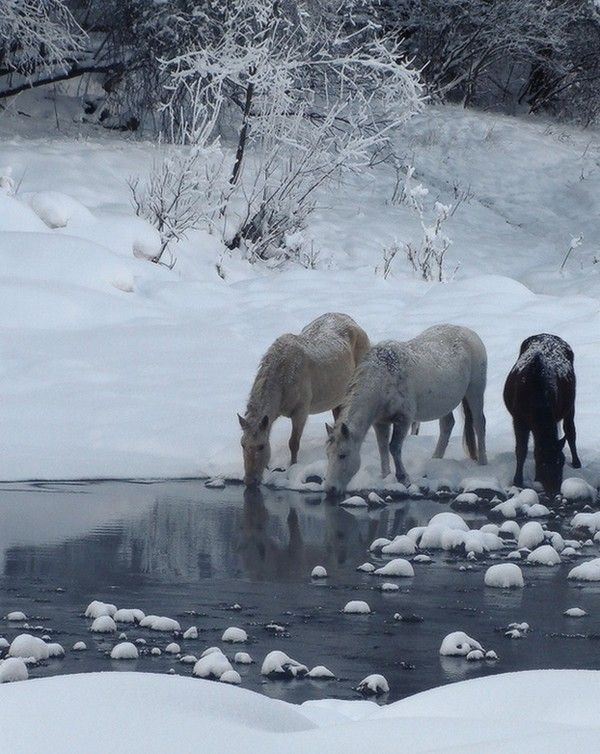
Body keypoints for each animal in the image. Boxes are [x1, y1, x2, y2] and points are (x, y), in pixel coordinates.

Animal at [239, 310, 370, 482]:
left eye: (261, 446)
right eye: (242, 444)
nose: (249, 481)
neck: (282, 379)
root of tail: (351, 320)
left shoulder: (301, 412)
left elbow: (293, 443)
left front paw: (292, 466)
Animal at [324, 322, 488, 494]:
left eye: (343, 455)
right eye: (327, 455)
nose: (330, 488)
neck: (383, 380)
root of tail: (469, 332)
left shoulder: (403, 418)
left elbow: (394, 447)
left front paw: (403, 478)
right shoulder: (380, 422)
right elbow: (383, 447)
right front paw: (385, 476)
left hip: (475, 390)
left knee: (479, 423)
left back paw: (482, 463)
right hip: (445, 403)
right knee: (447, 424)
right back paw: (436, 458)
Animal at [502, 332, 580, 496]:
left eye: (561, 462)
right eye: (542, 463)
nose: (555, 490)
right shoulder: (518, 418)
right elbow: (521, 450)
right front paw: (517, 480)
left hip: (571, 405)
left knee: (570, 431)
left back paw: (577, 462)